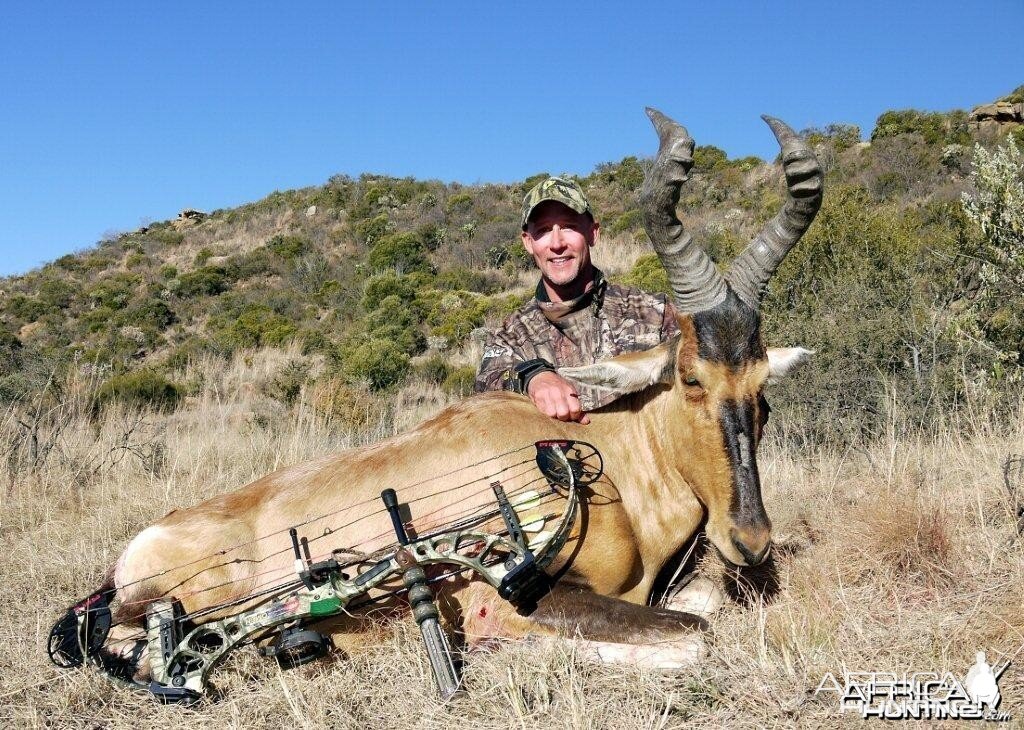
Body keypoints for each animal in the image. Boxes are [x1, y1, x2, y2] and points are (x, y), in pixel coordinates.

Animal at [49, 108, 823, 700]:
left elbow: (704, 607)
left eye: (762, 387)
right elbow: (696, 637)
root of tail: (132, 554)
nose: (751, 540)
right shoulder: (522, 588)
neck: (592, 457)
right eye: (691, 377)